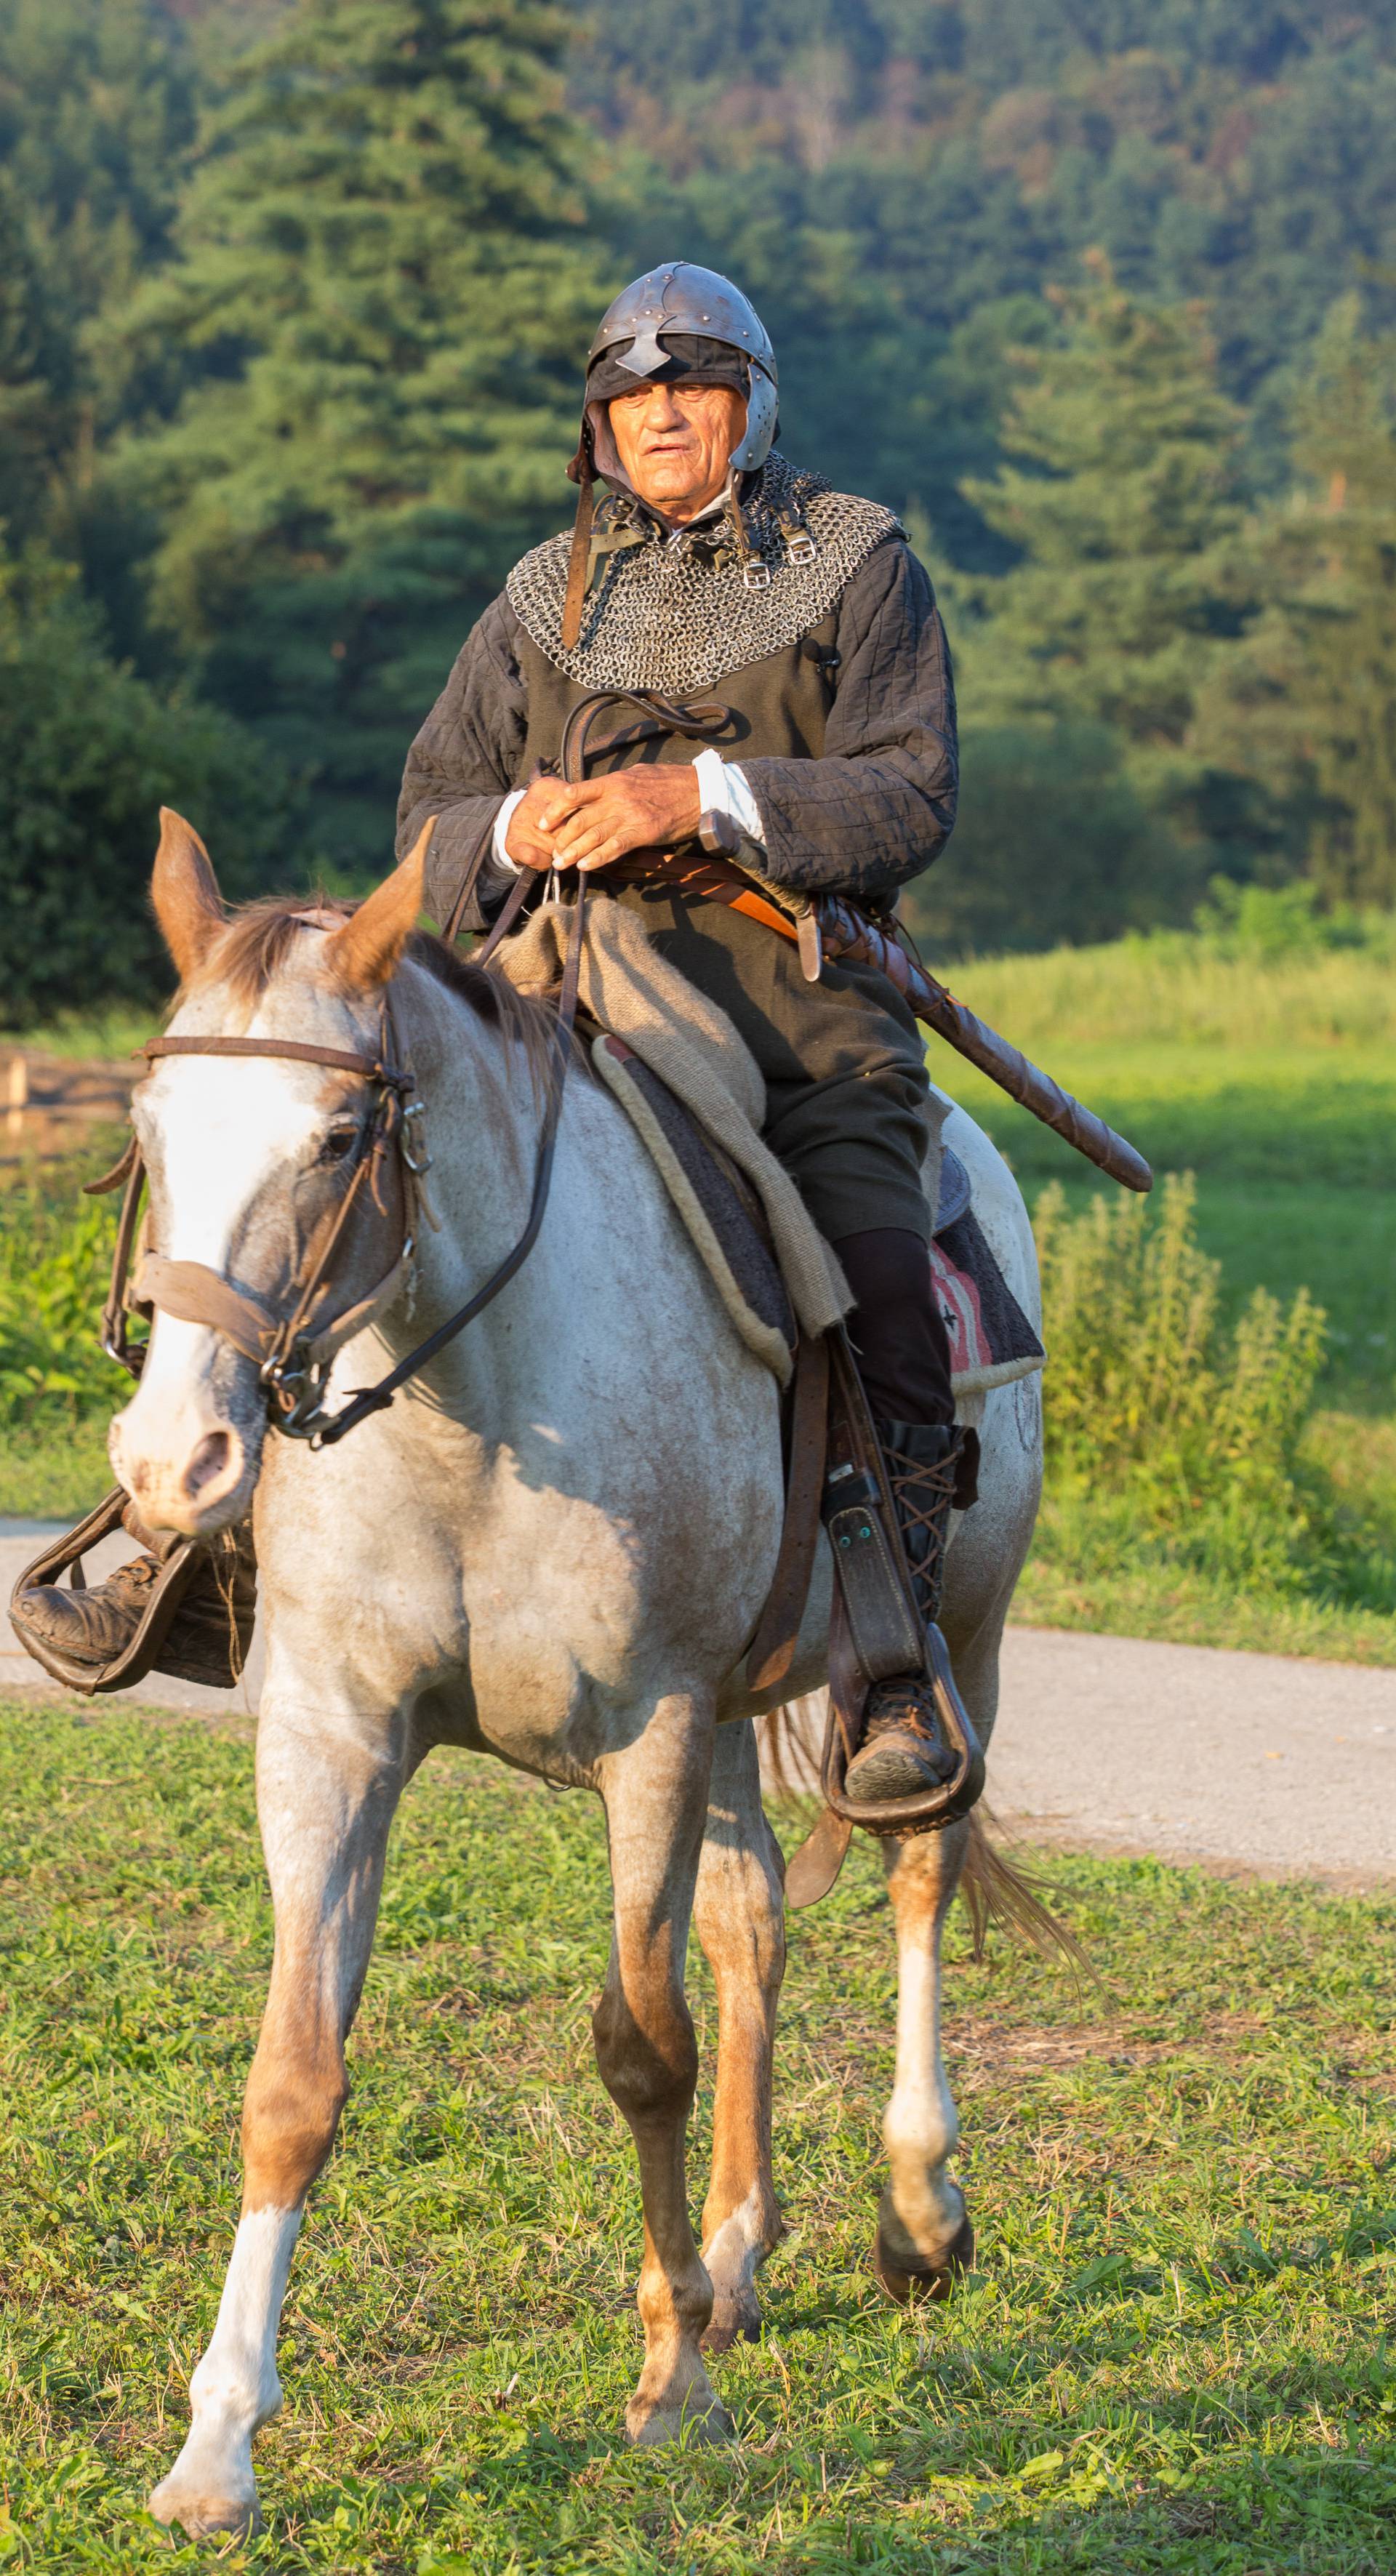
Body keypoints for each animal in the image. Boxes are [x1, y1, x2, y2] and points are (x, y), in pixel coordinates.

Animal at [118, 819, 1040, 2535]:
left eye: (339, 1134)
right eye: (151, 1126)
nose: (172, 1463)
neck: (479, 1410)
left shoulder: (652, 1728)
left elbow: (641, 2046)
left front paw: (673, 2383)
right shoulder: (335, 1737)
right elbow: (293, 2077)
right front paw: (218, 2445)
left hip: (970, 1635)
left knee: (919, 1873)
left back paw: (915, 2210)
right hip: (747, 1706)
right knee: (752, 1926)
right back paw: (739, 2248)